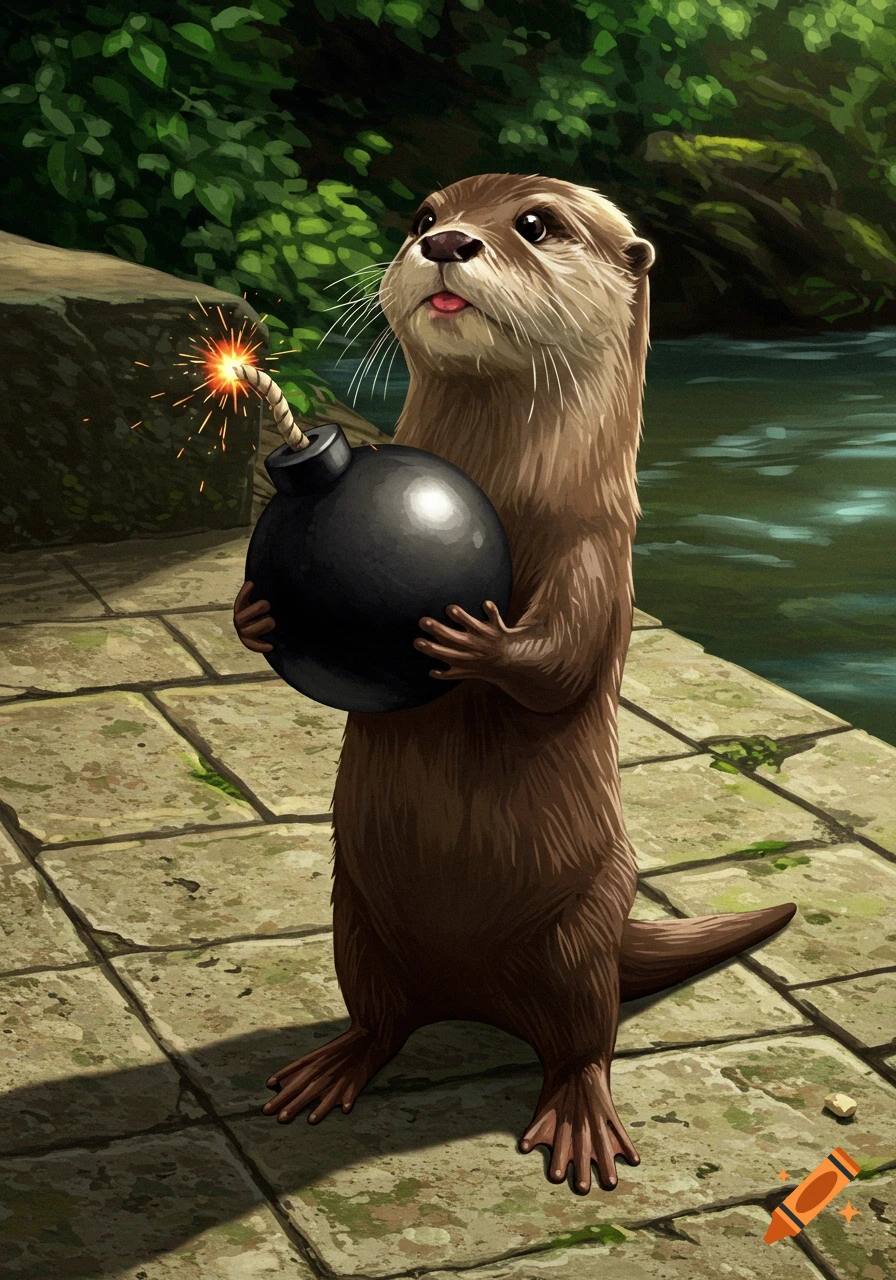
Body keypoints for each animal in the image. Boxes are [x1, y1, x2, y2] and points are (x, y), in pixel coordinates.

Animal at [233, 173, 796, 1194]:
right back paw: (334, 1066)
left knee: (583, 1041)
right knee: (380, 1018)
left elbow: (562, 664)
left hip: (574, 935)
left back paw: (577, 1119)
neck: (511, 487)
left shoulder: (599, 553)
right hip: (355, 922)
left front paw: (474, 641)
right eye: (423, 216)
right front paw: (254, 616)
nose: (447, 242)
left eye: (536, 223)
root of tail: (474, 996)